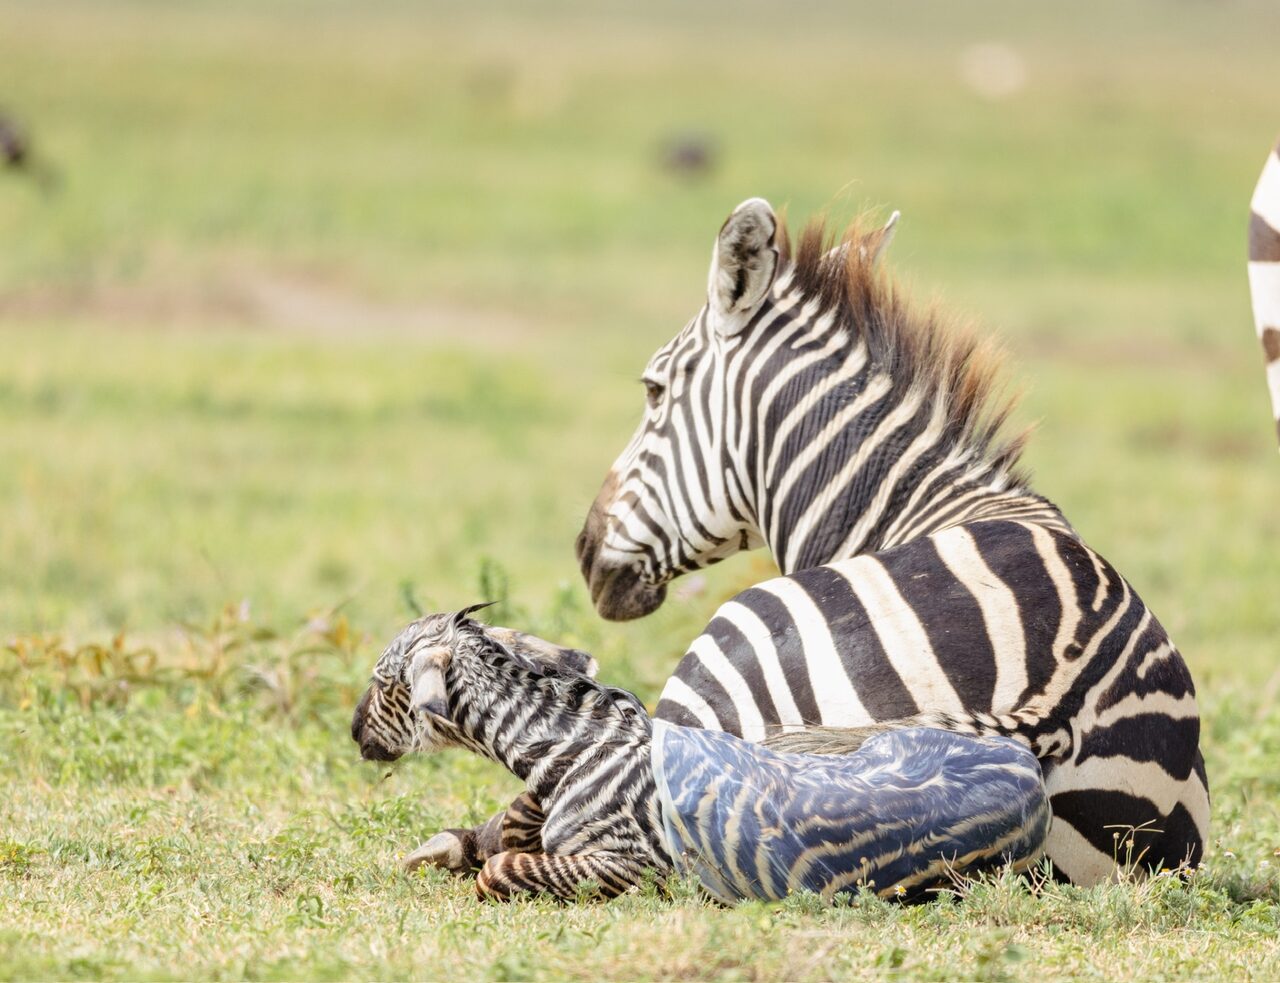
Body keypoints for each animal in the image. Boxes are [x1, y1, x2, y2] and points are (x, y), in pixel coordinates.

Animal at [351, 607, 1051, 902]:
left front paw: (482, 855)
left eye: (385, 684)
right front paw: (455, 844)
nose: (354, 734)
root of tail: (1022, 766)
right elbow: (515, 820)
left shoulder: (633, 868)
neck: (576, 752)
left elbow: (501, 872)